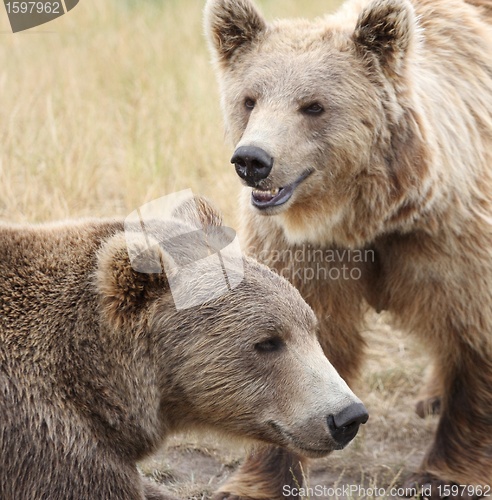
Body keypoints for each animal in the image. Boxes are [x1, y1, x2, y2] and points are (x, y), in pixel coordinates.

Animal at [206, 0, 492, 496]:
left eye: (313, 105)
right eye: (250, 99)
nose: (252, 160)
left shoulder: (450, 237)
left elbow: (473, 336)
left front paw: (441, 474)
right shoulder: (307, 252)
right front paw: (255, 482)